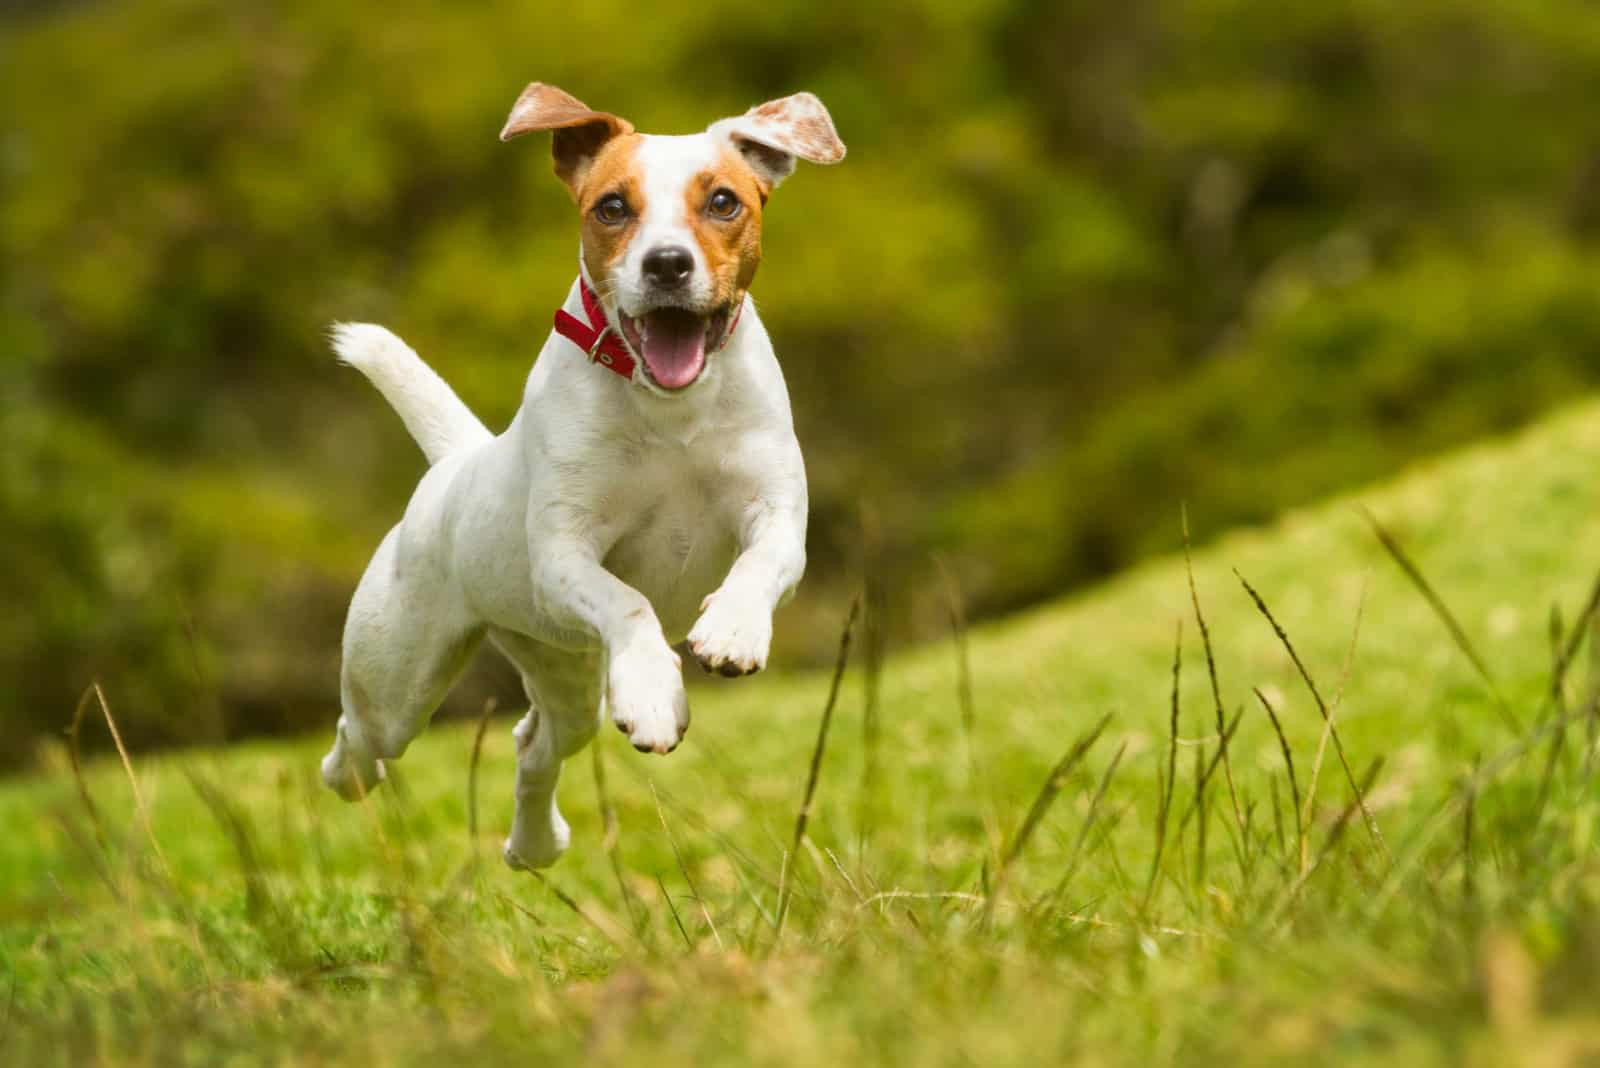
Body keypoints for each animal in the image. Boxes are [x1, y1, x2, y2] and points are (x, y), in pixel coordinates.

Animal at [318, 81, 844, 869]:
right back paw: (349, 775)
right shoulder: (564, 555)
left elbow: (760, 564)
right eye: (613, 207)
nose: (666, 264)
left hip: (563, 672)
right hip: (398, 678)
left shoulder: (777, 514)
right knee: (361, 741)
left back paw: (535, 844)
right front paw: (654, 691)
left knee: (533, 743)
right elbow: (629, 602)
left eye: (723, 201)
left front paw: (731, 631)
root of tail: (456, 463)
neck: (670, 409)